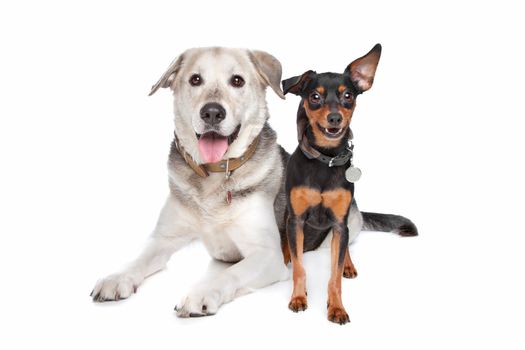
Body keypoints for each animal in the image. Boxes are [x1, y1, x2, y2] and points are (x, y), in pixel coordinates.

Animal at [280, 44, 416, 326]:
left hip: (346, 222)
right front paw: (298, 297)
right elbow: (299, 267)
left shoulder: (340, 223)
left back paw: (348, 265)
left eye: (348, 96)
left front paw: (336, 307)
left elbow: (333, 276)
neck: (326, 159)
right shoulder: (295, 219)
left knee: (343, 249)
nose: (335, 118)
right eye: (314, 97)